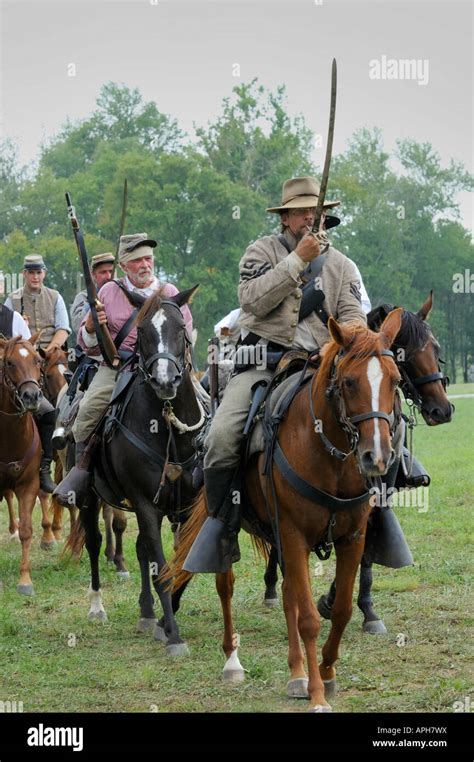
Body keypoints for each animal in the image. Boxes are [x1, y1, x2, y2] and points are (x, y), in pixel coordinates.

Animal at [68, 284, 204, 652]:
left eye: (180, 328)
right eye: (142, 331)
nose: (164, 381)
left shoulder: (185, 505)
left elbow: (179, 562)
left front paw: (163, 619)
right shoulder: (145, 504)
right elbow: (160, 568)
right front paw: (173, 635)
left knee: (141, 549)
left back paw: (146, 613)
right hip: (89, 499)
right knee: (95, 541)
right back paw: (97, 607)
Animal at [168, 308, 402, 708]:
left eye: (394, 380)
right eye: (350, 382)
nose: (377, 456)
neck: (328, 455)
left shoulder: (351, 537)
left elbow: (339, 610)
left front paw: (325, 673)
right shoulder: (293, 534)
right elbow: (308, 616)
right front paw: (318, 695)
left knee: (290, 592)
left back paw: (297, 673)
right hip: (229, 524)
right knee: (225, 584)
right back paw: (233, 661)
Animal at [262, 290, 454, 628]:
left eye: (436, 348)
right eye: (402, 353)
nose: (441, 410)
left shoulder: (377, 494)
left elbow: (363, 549)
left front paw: (360, 606)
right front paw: (329, 601)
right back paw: (274, 587)